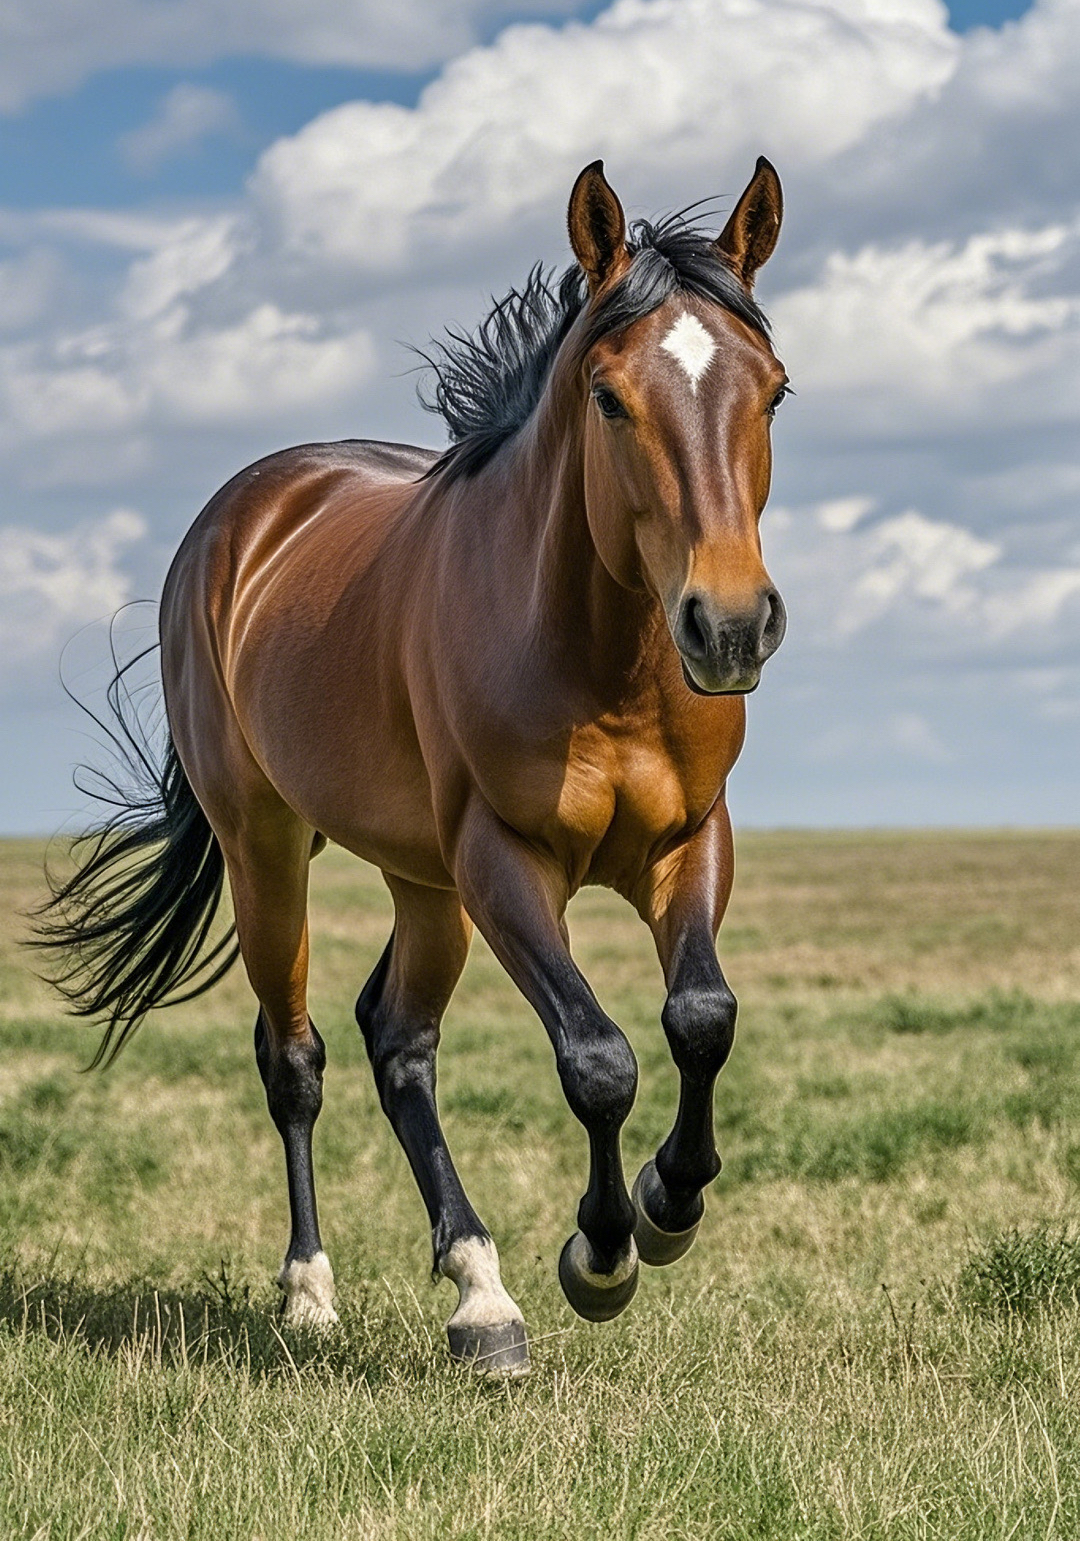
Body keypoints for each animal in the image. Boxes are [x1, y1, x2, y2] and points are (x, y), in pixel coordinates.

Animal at [35, 158, 789, 1376]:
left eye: (772, 391)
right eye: (608, 396)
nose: (728, 625)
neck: (596, 657)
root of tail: (241, 514)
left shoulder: (686, 840)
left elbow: (700, 1017)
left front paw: (669, 1201)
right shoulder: (504, 861)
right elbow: (597, 1055)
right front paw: (602, 1255)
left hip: (422, 881)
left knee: (398, 1039)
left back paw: (479, 1292)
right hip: (272, 849)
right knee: (295, 1055)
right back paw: (316, 1290)